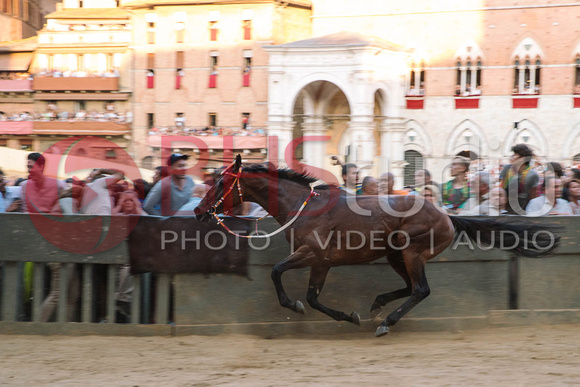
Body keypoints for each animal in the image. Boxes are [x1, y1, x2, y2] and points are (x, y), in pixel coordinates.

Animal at [197, 156, 560, 338]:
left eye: (220, 182)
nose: (200, 212)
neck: (303, 206)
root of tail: (447, 217)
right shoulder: (321, 262)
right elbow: (313, 297)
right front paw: (350, 316)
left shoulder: (313, 254)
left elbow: (277, 273)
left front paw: (295, 306)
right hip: (395, 254)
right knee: (409, 287)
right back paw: (377, 306)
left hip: (411, 250)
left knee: (421, 289)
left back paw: (387, 322)